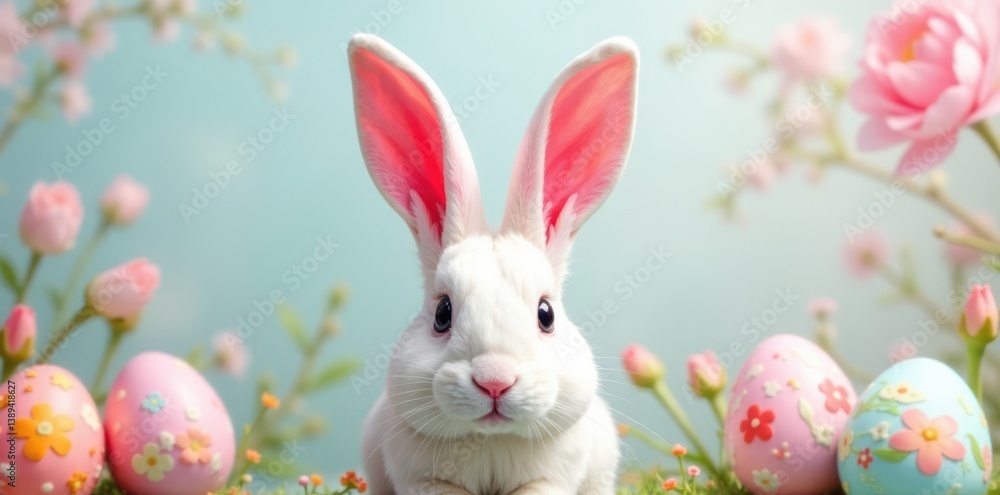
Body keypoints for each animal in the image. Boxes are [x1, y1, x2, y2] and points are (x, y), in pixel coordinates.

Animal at [348, 33, 639, 495]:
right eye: (442, 314)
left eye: (545, 314)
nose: (495, 381)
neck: (489, 440)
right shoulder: (427, 480)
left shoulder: (547, 478)